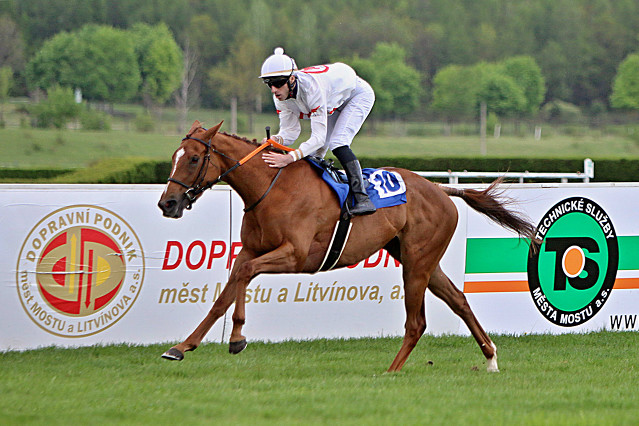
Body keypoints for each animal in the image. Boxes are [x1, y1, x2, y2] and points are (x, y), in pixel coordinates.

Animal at [158, 120, 536, 372]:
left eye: (194, 159)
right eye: (174, 156)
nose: (168, 203)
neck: (272, 188)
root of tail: (441, 189)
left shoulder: (295, 255)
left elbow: (246, 276)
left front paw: (237, 338)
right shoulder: (251, 250)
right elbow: (225, 294)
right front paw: (182, 346)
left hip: (417, 263)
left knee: (417, 323)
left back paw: (391, 371)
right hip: (421, 259)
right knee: (458, 299)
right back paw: (490, 357)